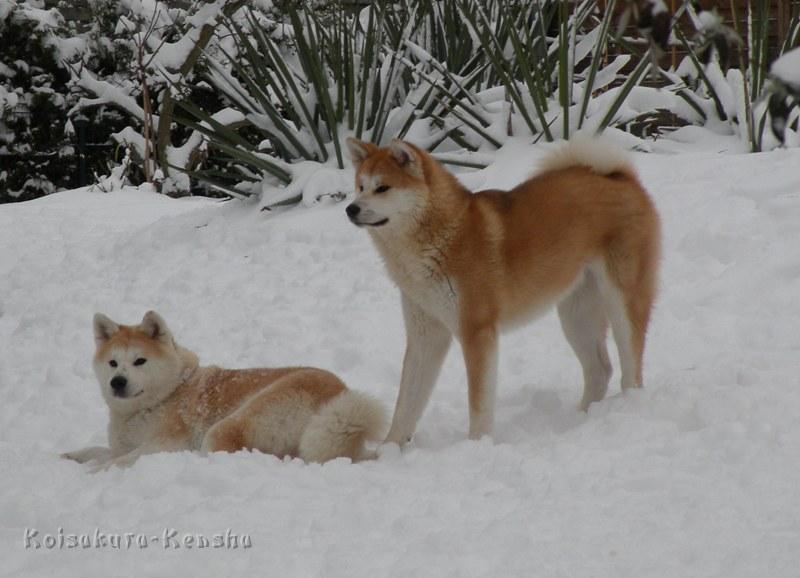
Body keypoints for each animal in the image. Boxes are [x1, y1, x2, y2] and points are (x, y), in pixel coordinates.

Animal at [65, 310, 384, 468]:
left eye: (139, 361)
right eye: (113, 363)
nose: (117, 382)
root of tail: (339, 394)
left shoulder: (167, 443)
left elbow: (120, 460)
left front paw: (95, 471)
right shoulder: (123, 444)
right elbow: (102, 451)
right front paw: (71, 457)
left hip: (227, 425)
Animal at [346, 137, 660, 444]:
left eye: (382, 188)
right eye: (360, 186)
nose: (351, 208)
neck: (442, 235)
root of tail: (621, 178)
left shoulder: (477, 331)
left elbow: (478, 403)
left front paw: (477, 445)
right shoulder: (426, 334)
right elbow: (407, 403)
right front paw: (389, 450)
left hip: (622, 301)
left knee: (631, 368)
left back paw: (628, 406)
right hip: (577, 314)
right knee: (599, 371)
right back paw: (581, 419)